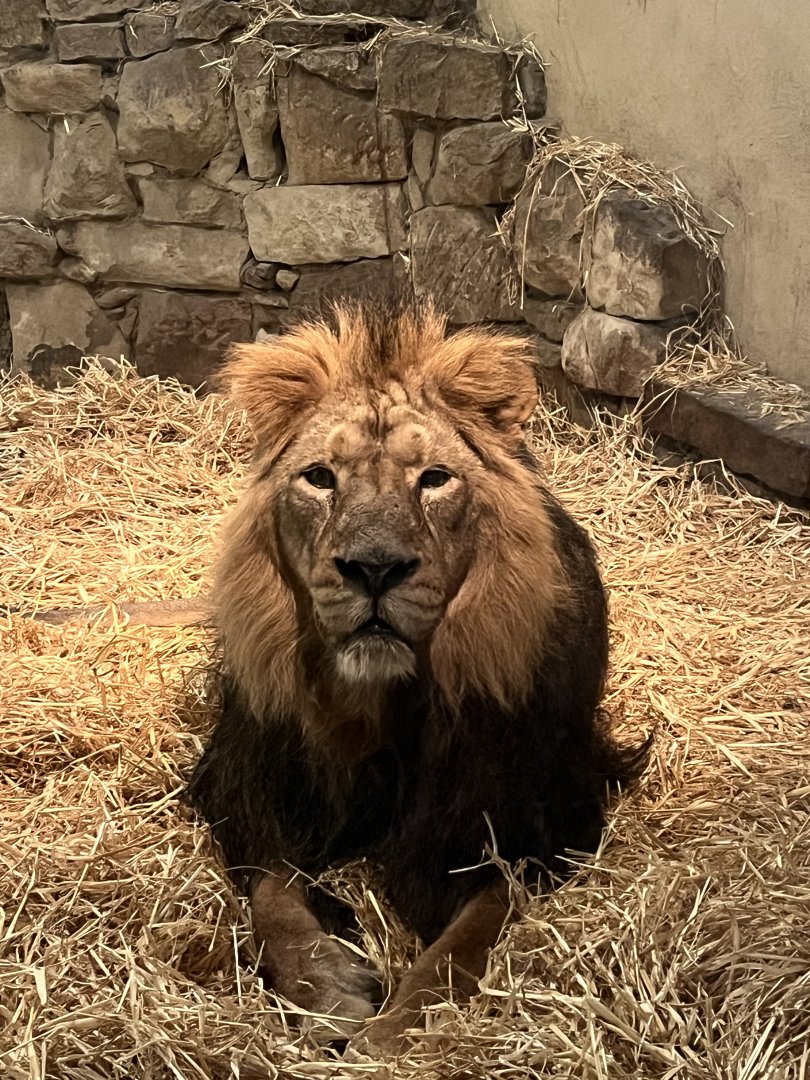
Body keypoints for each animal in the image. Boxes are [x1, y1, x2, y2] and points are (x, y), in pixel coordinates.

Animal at [186, 298, 642, 1054]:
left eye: (434, 478)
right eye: (320, 477)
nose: (374, 569)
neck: (386, 703)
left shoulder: (530, 820)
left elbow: (471, 930)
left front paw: (400, 1025)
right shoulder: (259, 784)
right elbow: (272, 891)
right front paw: (327, 984)